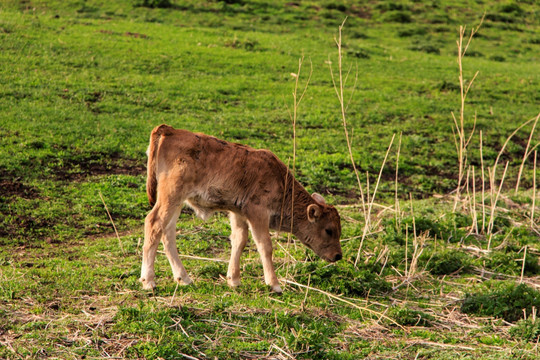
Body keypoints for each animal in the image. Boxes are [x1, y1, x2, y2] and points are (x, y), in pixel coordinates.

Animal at [139, 124, 342, 292]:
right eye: (329, 230)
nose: (338, 255)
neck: (281, 182)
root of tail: (171, 131)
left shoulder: (238, 213)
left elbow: (239, 240)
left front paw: (234, 280)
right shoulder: (258, 214)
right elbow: (265, 246)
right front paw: (274, 284)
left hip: (177, 202)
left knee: (167, 232)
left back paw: (184, 278)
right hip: (171, 196)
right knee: (154, 223)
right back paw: (149, 281)